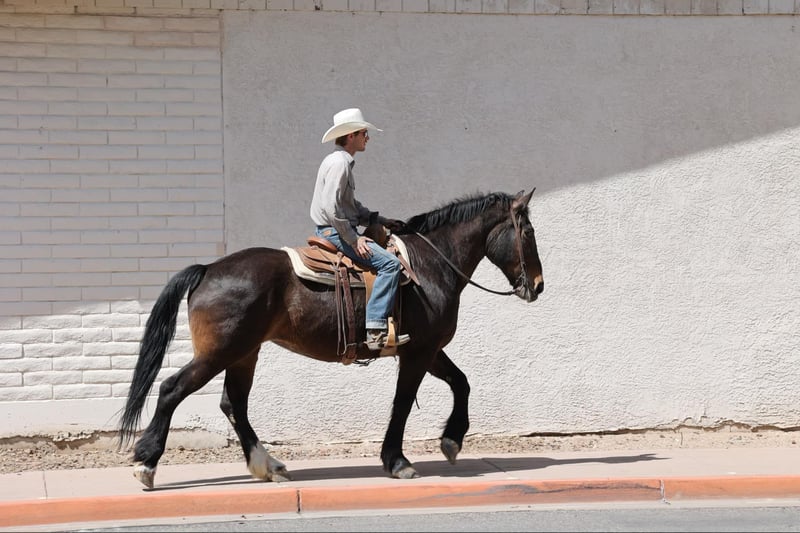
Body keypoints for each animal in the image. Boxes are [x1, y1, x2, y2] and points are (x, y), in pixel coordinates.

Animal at [118, 189, 544, 489]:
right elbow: (403, 402)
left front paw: (451, 441)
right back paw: (147, 463)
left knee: (233, 403)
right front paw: (398, 462)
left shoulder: (428, 349)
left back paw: (268, 465)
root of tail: (207, 269)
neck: (428, 266)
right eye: (527, 231)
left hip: (244, 353)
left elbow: (462, 382)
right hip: (219, 352)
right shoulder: (419, 352)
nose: (538, 285)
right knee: (173, 389)